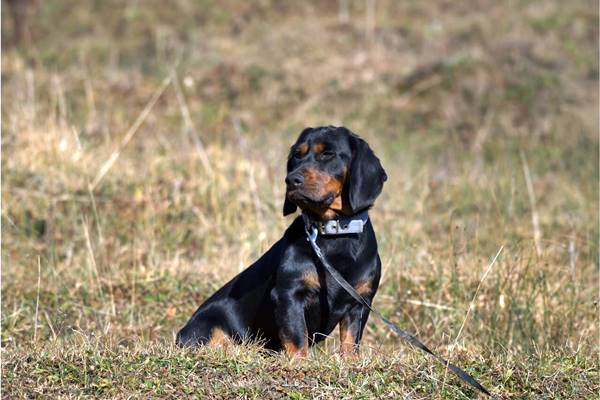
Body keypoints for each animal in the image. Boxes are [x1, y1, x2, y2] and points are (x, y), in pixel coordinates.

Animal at [176, 126, 386, 356]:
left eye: (327, 154)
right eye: (296, 155)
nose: (291, 180)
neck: (334, 235)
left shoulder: (359, 303)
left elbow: (350, 343)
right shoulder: (289, 295)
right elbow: (298, 340)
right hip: (210, 326)